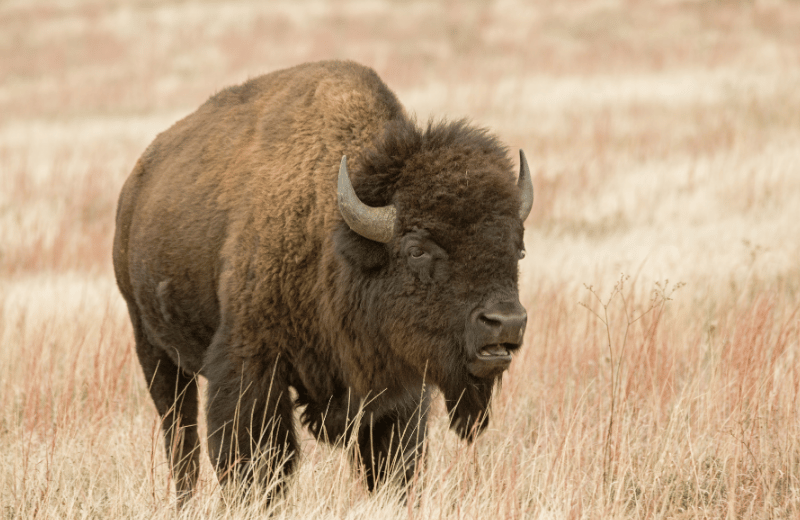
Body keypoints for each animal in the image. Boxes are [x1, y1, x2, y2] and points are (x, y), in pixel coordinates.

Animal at [113, 60, 533, 505]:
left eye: (518, 249)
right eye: (417, 249)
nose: (505, 323)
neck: (334, 239)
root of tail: (135, 184)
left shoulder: (399, 390)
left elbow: (393, 461)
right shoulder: (252, 367)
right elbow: (255, 457)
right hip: (153, 348)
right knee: (180, 435)